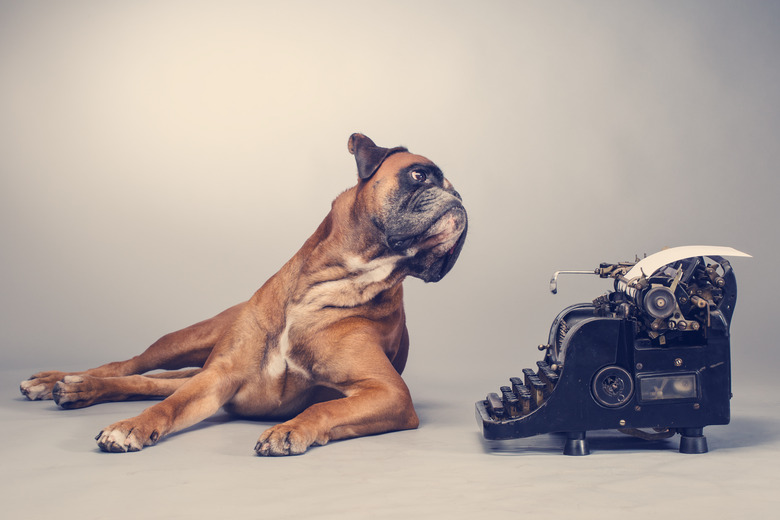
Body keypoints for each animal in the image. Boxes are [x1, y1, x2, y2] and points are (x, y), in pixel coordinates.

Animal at [21, 134, 466, 456]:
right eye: (419, 176)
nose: (459, 200)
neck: (332, 281)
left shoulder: (387, 391)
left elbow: (324, 405)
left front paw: (290, 429)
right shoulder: (221, 376)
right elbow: (168, 406)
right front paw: (131, 426)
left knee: (151, 382)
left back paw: (77, 389)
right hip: (186, 342)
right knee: (132, 366)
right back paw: (59, 381)